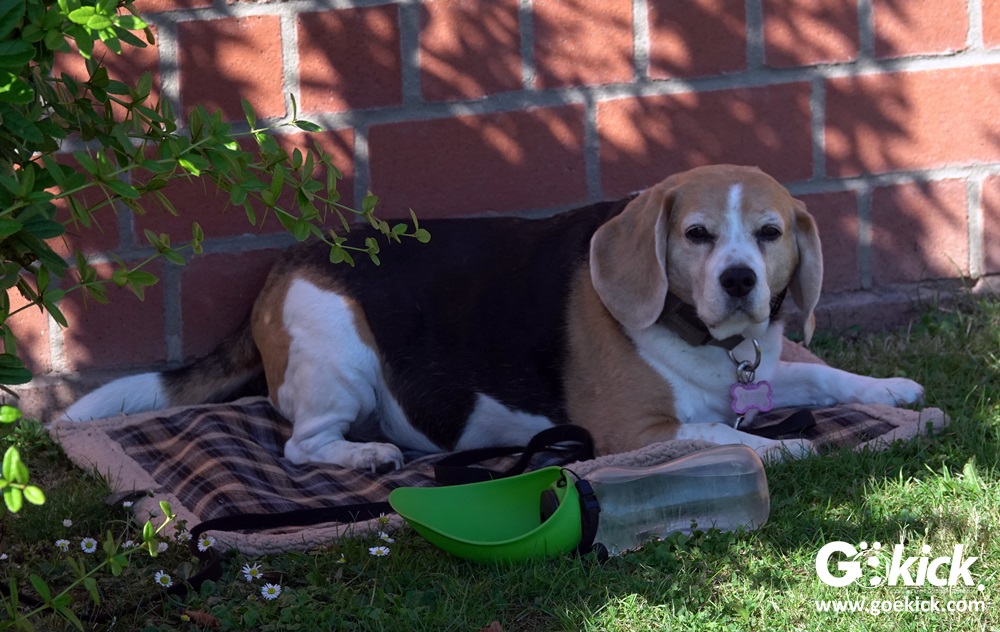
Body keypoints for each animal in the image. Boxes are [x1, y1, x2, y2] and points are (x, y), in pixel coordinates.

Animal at [63, 164, 924, 469]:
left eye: (771, 233)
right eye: (697, 235)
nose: (741, 280)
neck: (709, 341)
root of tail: (285, 265)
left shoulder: (765, 376)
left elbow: (822, 381)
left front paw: (888, 390)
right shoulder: (630, 431)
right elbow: (717, 432)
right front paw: (783, 448)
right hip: (338, 358)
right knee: (302, 448)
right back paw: (364, 457)